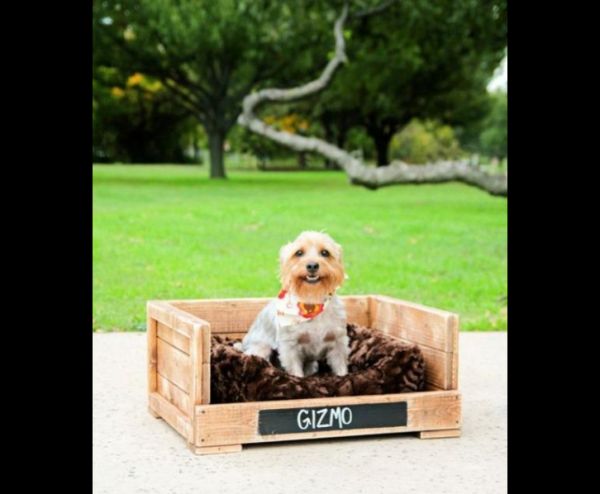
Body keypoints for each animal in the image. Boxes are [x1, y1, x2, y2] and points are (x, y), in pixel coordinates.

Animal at [233, 232, 350, 378]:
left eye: (325, 252)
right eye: (299, 253)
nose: (312, 265)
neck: (312, 300)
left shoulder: (338, 341)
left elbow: (341, 367)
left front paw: (342, 377)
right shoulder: (290, 346)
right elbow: (295, 371)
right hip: (261, 348)